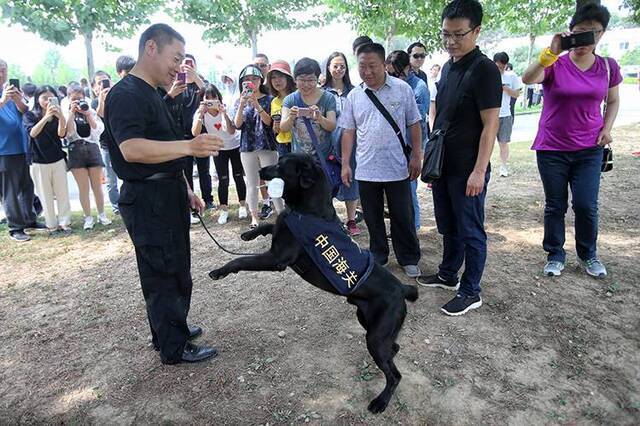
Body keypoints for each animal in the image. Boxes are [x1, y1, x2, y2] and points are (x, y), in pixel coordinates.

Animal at [210, 153, 420, 412]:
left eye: (281, 164)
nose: (259, 170)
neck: (308, 210)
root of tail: (402, 288)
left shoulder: (276, 258)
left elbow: (241, 260)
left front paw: (220, 271)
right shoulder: (281, 229)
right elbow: (270, 225)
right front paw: (249, 234)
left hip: (376, 336)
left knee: (394, 374)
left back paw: (380, 401)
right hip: (368, 322)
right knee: (394, 348)